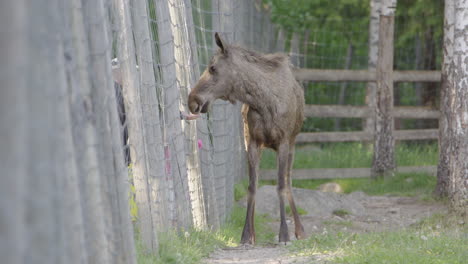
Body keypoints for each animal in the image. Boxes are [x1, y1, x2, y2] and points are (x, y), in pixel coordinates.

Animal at [188, 33, 306, 245]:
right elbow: (252, 186)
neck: (263, 103)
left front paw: (284, 234)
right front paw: (246, 234)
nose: (191, 100)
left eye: (213, 67)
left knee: (289, 180)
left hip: (293, 142)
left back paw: (300, 230)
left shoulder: (283, 142)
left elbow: (281, 185)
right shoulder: (252, 142)